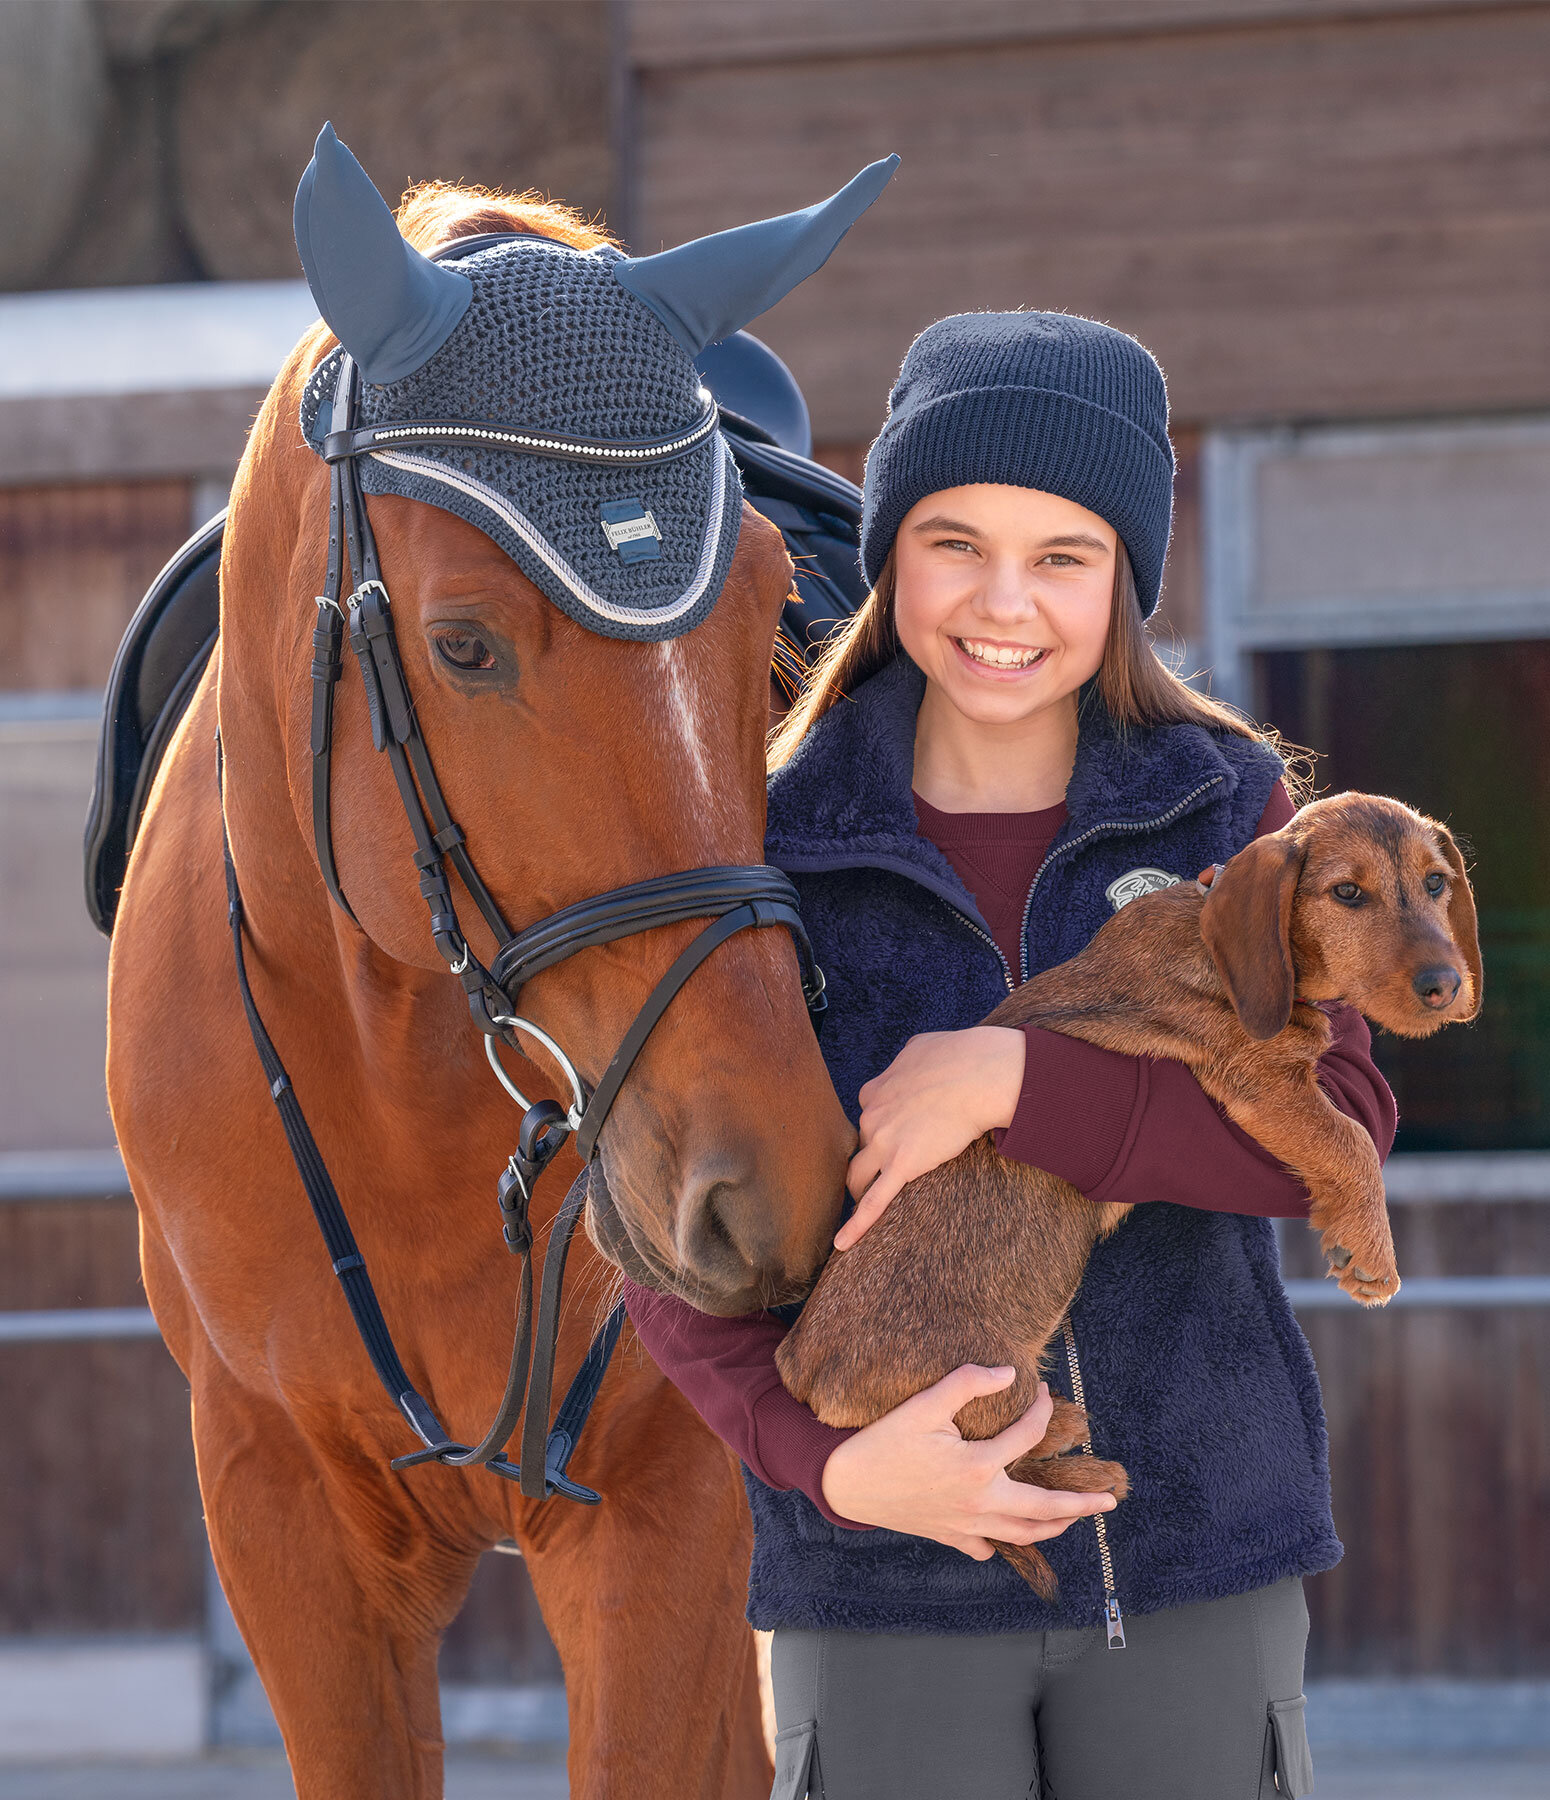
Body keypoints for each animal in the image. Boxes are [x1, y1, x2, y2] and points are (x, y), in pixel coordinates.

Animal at [105, 186, 846, 1800]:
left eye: (771, 617)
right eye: (461, 644)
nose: (774, 1187)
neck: (402, 1080)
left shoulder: (668, 1521)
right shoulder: (281, 1519)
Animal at [781, 795, 1483, 1598]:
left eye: (1436, 884)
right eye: (1347, 893)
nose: (1444, 984)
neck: (1214, 936)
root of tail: (800, 1372)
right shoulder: (1261, 1082)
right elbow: (1352, 1139)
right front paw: (1371, 1252)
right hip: (986, 1377)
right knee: (1002, 1460)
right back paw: (1080, 1458)